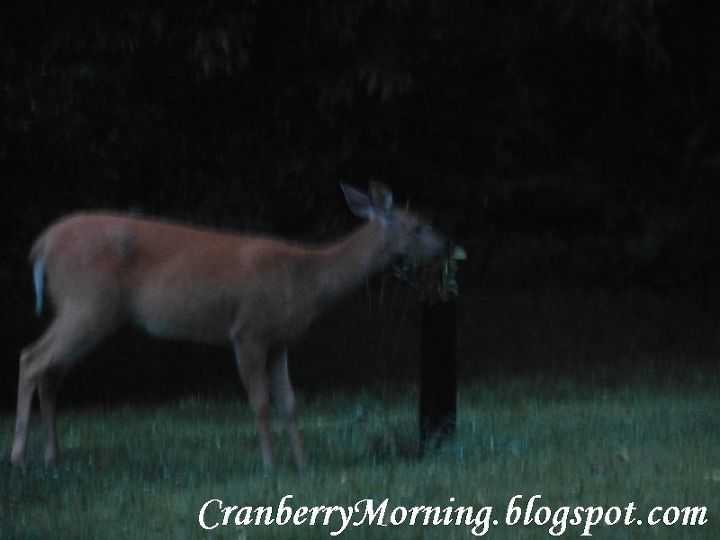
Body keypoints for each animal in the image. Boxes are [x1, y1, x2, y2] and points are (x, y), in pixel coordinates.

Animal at [9, 181, 444, 468]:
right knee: (31, 358)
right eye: (418, 225)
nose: (445, 244)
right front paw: (270, 467)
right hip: (87, 302)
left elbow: (289, 402)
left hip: (85, 309)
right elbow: (260, 402)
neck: (306, 277)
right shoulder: (248, 330)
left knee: (50, 369)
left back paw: (52, 458)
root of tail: (40, 246)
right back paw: (18, 457)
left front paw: (303, 464)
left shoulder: (279, 339)